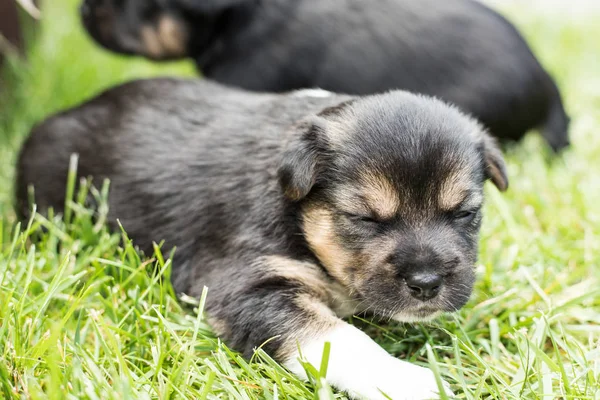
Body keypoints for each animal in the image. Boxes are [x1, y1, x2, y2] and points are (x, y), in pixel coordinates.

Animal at [16, 79, 508, 400]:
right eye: (364, 218)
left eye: (466, 213)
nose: (426, 284)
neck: (296, 211)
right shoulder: (246, 285)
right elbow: (336, 337)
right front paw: (406, 380)